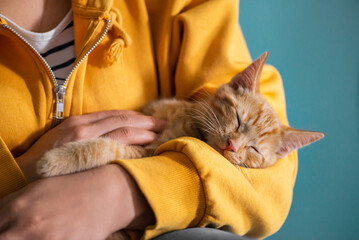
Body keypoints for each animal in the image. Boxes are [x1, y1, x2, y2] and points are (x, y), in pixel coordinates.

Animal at [37, 52, 326, 176]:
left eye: (254, 150)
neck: (187, 121)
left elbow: (105, 147)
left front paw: (54, 161)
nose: (232, 146)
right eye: (237, 118)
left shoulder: (147, 152)